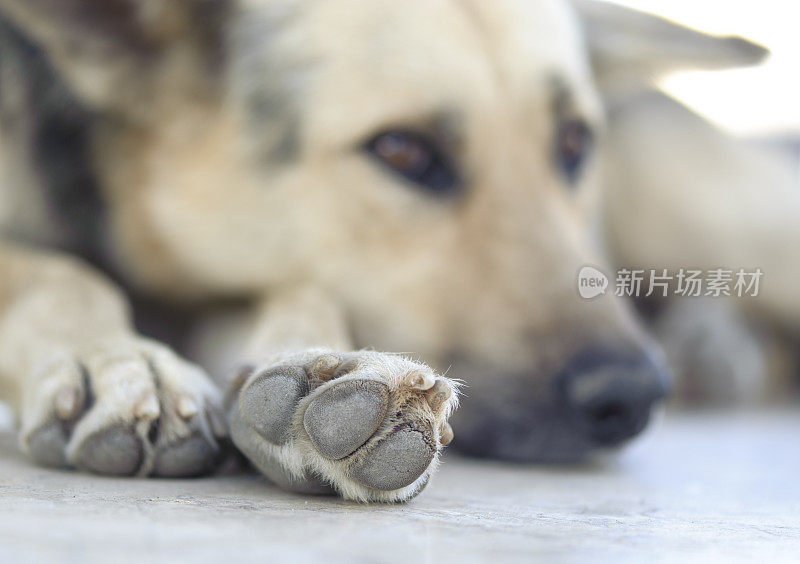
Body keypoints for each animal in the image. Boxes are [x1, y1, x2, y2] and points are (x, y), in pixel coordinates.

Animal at [0, 0, 788, 502]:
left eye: (574, 143)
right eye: (403, 150)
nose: (631, 394)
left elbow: (305, 290)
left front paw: (319, 366)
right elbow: (52, 269)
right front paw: (114, 359)